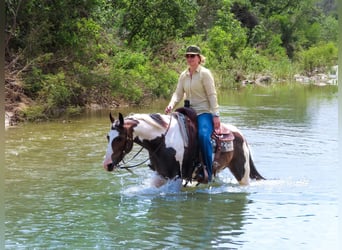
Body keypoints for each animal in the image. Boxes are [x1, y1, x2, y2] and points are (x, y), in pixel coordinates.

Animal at [103, 112, 266, 187]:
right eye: (108, 137)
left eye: (119, 138)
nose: (107, 164)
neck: (162, 141)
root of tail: (241, 135)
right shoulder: (161, 175)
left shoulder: (177, 176)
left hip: (242, 173)